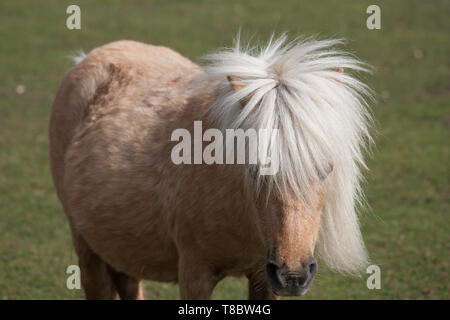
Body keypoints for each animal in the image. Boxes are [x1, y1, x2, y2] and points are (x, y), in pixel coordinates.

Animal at [49, 35, 372, 300]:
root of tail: (87, 59)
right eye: (254, 169)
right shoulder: (195, 274)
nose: (292, 276)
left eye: (326, 169)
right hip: (87, 248)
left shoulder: (263, 276)